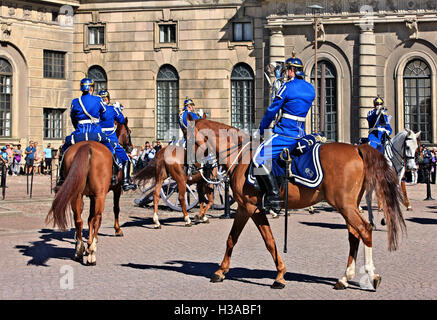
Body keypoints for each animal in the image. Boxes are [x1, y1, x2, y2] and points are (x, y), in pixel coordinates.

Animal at [45, 120, 133, 264]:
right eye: (129, 132)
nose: (131, 148)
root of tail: (87, 146)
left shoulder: (91, 196)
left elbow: (89, 218)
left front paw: (87, 242)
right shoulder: (116, 189)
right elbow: (115, 209)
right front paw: (117, 230)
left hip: (77, 195)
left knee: (79, 219)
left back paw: (79, 249)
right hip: (99, 195)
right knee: (97, 218)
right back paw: (91, 254)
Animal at [191, 117, 406, 290]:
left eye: (190, 138)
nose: (193, 168)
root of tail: (356, 148)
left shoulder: (248, 207)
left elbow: (238, 239)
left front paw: (221, 271)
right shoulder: (253, 209)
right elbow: (263, 240)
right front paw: (279, 274)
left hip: (345, 205)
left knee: (365, 229)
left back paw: (371, 275)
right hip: (348, 206)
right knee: (354, 235)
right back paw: (344, 278)